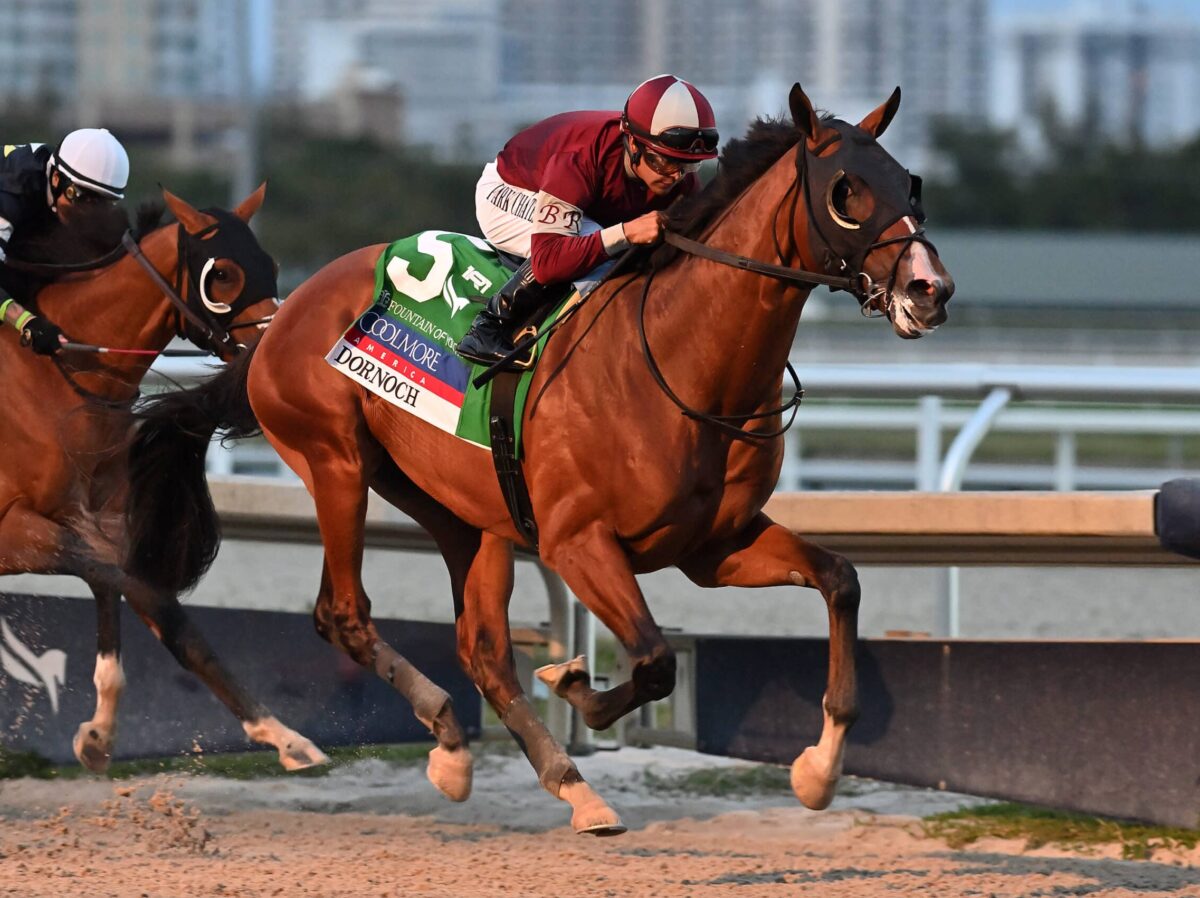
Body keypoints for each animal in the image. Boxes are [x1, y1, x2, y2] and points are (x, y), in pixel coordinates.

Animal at [0, 187, 328, 773]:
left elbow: (162, 615)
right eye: (223, 274)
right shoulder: (13, 531)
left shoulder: (95, 524)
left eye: (270, 265)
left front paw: (287, 739)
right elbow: (128, 585)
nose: (273, 349)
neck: (57, 378)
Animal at [126, 87, 950, 830]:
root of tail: (282, 316)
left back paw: (534, 775)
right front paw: (574, 679)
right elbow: (654, 661)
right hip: (336, 464)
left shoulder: (714, 546)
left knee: (482, 648)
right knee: (344, 613)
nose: (930, 289)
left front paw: (819, 771)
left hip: (462, 507)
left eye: (907, 180)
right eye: (847, 191)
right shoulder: (577, 541)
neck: (680, 360)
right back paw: (456, 732)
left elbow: (840, 582)